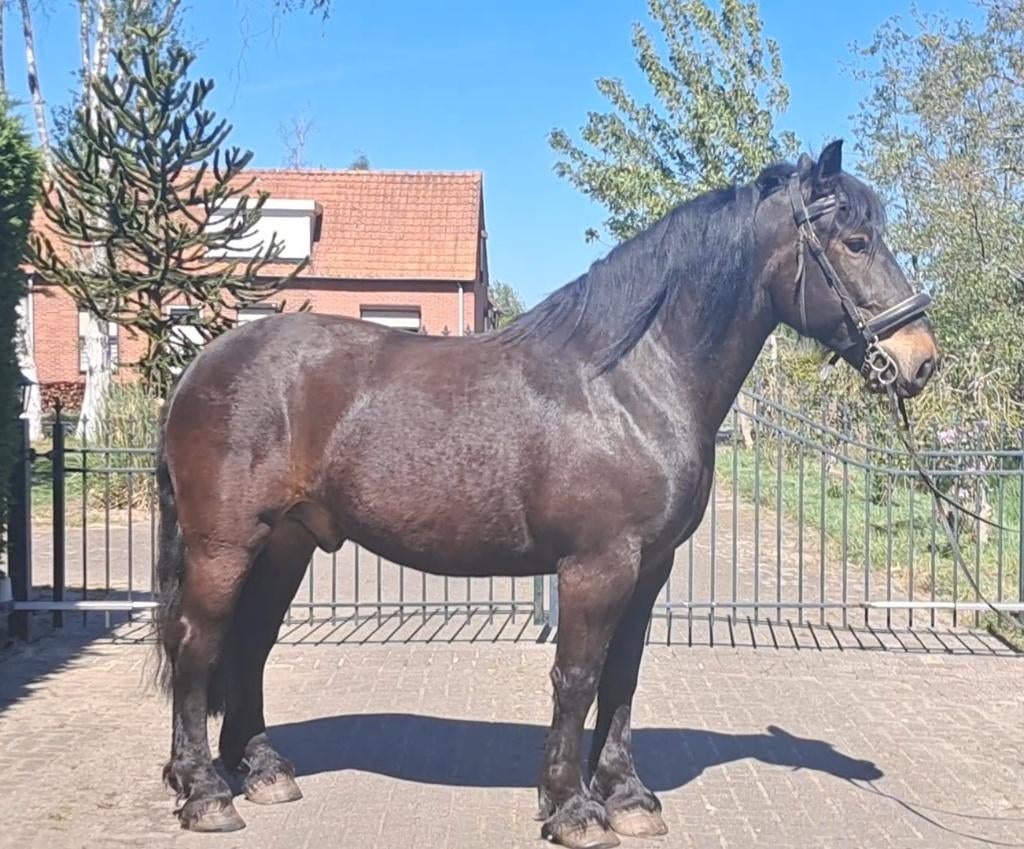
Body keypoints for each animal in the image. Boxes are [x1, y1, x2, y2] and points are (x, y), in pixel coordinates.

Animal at [154, 140, 938, 849]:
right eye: (856, 241)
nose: (921, 361)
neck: (628, 383)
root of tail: (201, 365)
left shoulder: (649, 568)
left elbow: (622, 677)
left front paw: (627, 797)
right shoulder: (596, 567)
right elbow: (578, 676)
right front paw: (573, 808)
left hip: (285, 543)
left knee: (250, 643)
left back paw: (262, 770)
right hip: (226, 545)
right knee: (198, 643)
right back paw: (204, 791)